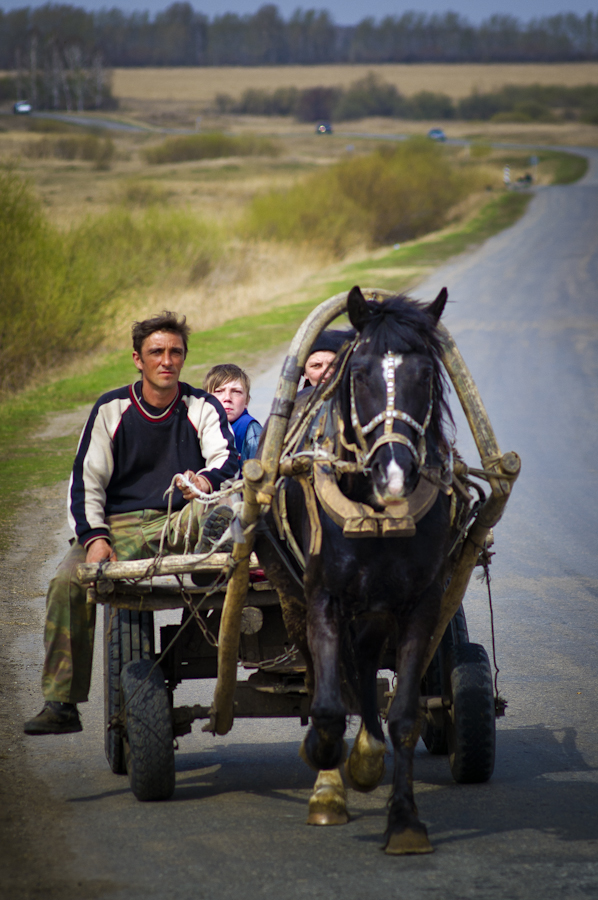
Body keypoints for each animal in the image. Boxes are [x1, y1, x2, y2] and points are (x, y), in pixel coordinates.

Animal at [255, 284, 458, 856]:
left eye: (426, 374)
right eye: (361, 373)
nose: (395, 472)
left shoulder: (420, 601)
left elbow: (405, 715)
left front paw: (404, 820)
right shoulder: (322, 593)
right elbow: (325, 708)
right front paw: (324, 766)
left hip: (374, 607)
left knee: (363, 662)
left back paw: (366, 751)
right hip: (294, 593)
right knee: (322, 677)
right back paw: (330, 785)